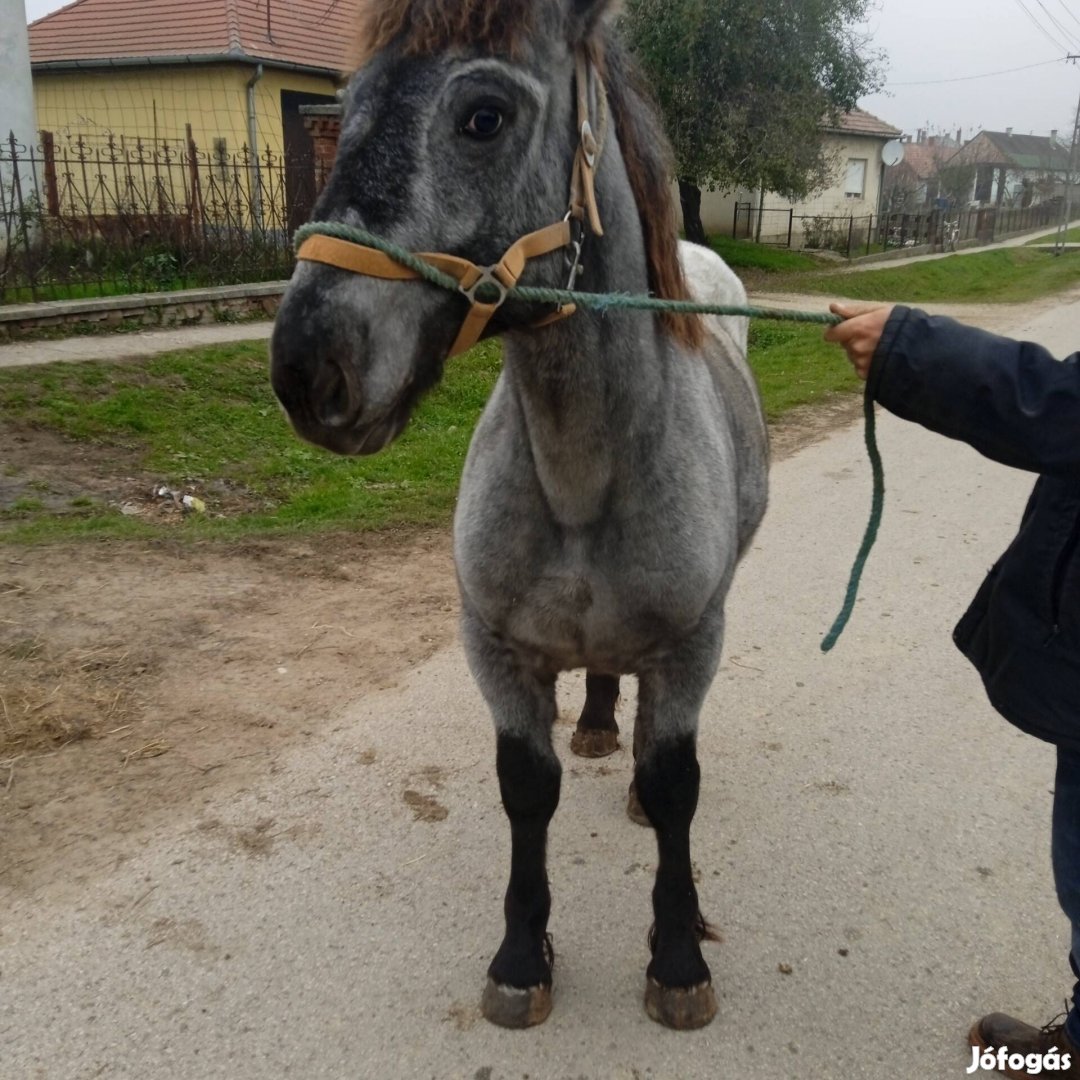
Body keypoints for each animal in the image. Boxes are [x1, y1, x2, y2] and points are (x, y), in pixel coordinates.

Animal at [274, 0, 773, 1032]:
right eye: (348, 104)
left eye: (484, 117)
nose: (306, 368)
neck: (583, 478)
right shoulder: (496, 649)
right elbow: (527, 791)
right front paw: (519, 959)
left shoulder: (691, 644)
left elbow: (675, 789)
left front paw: (677, 962)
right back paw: (595, 724)